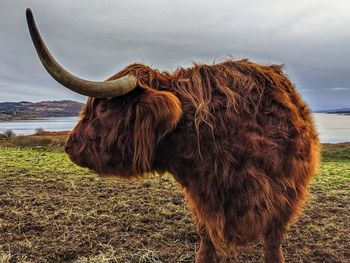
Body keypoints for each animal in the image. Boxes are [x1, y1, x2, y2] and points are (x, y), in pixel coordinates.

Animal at [26, 8, 320, 263]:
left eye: (103, 107)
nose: (70, 145)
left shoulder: (283, 202)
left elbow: (273, 247)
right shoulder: (202, 203)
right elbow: (206, 244)